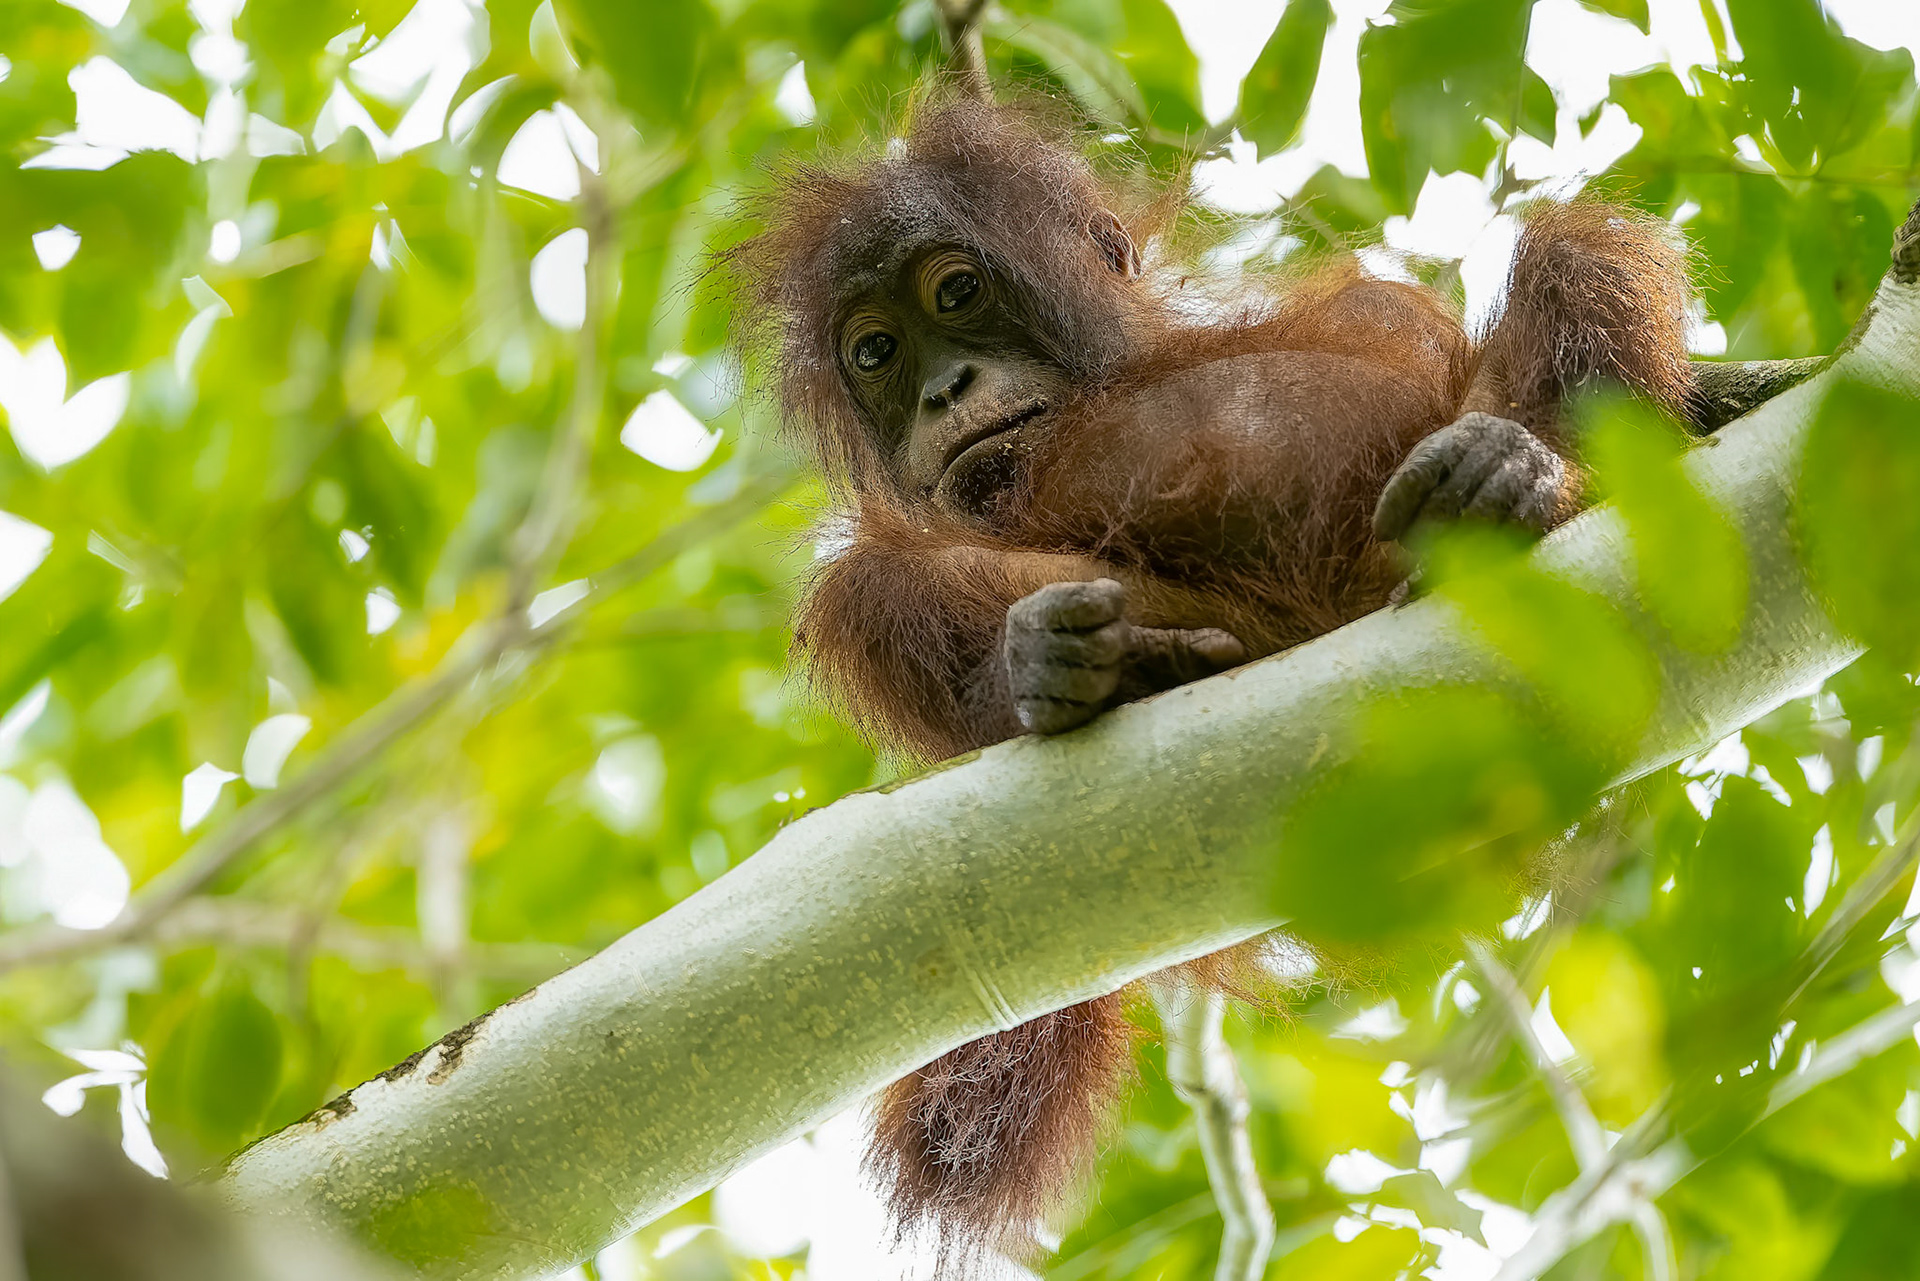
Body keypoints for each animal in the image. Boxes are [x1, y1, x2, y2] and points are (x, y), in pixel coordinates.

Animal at [726, 95, 1824, 1265]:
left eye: (956, 294)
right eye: (875, 352)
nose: (943, 388)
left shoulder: (1373, 320)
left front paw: (1549, 449)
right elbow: (876, 589)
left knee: (1566, 251)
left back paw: (1508, 486)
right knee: (867, 584)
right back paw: (1085, 667)